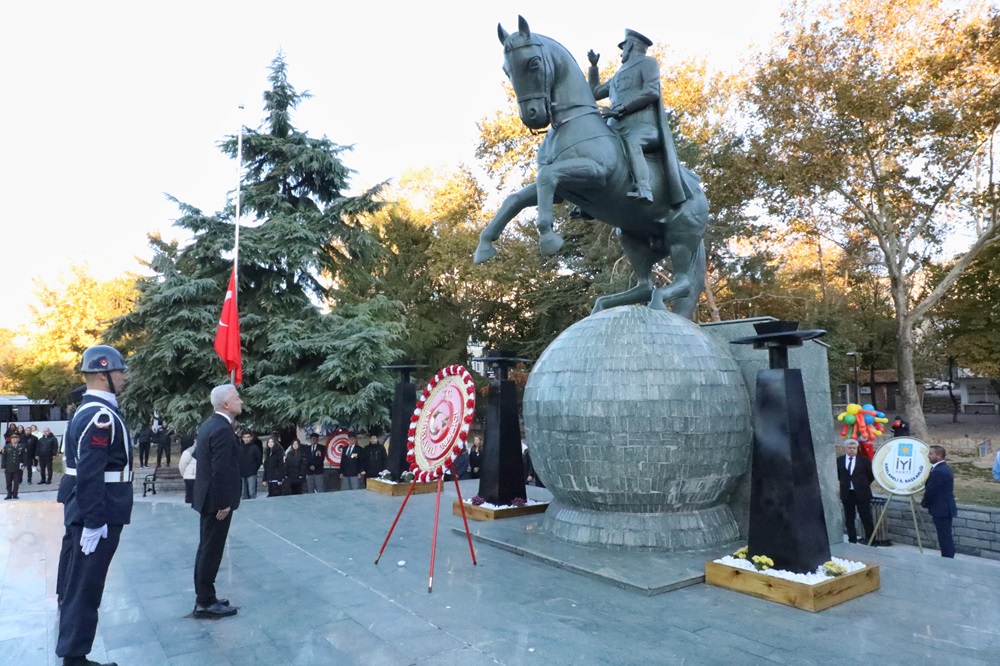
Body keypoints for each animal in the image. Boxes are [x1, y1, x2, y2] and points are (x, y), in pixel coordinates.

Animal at [476, 15, 712, 316]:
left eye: (534, 63)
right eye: (506, 69)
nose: (532, 116)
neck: (572, 123)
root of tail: (701, 193)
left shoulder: (595, 174)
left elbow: (546, 177)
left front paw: (548, 239)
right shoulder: (563, 190)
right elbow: (516, 198)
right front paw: (484, 246)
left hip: (681, 237)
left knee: (681, 283)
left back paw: (656, 301)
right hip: (631, 235)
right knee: (644, 285)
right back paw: (603, 305)